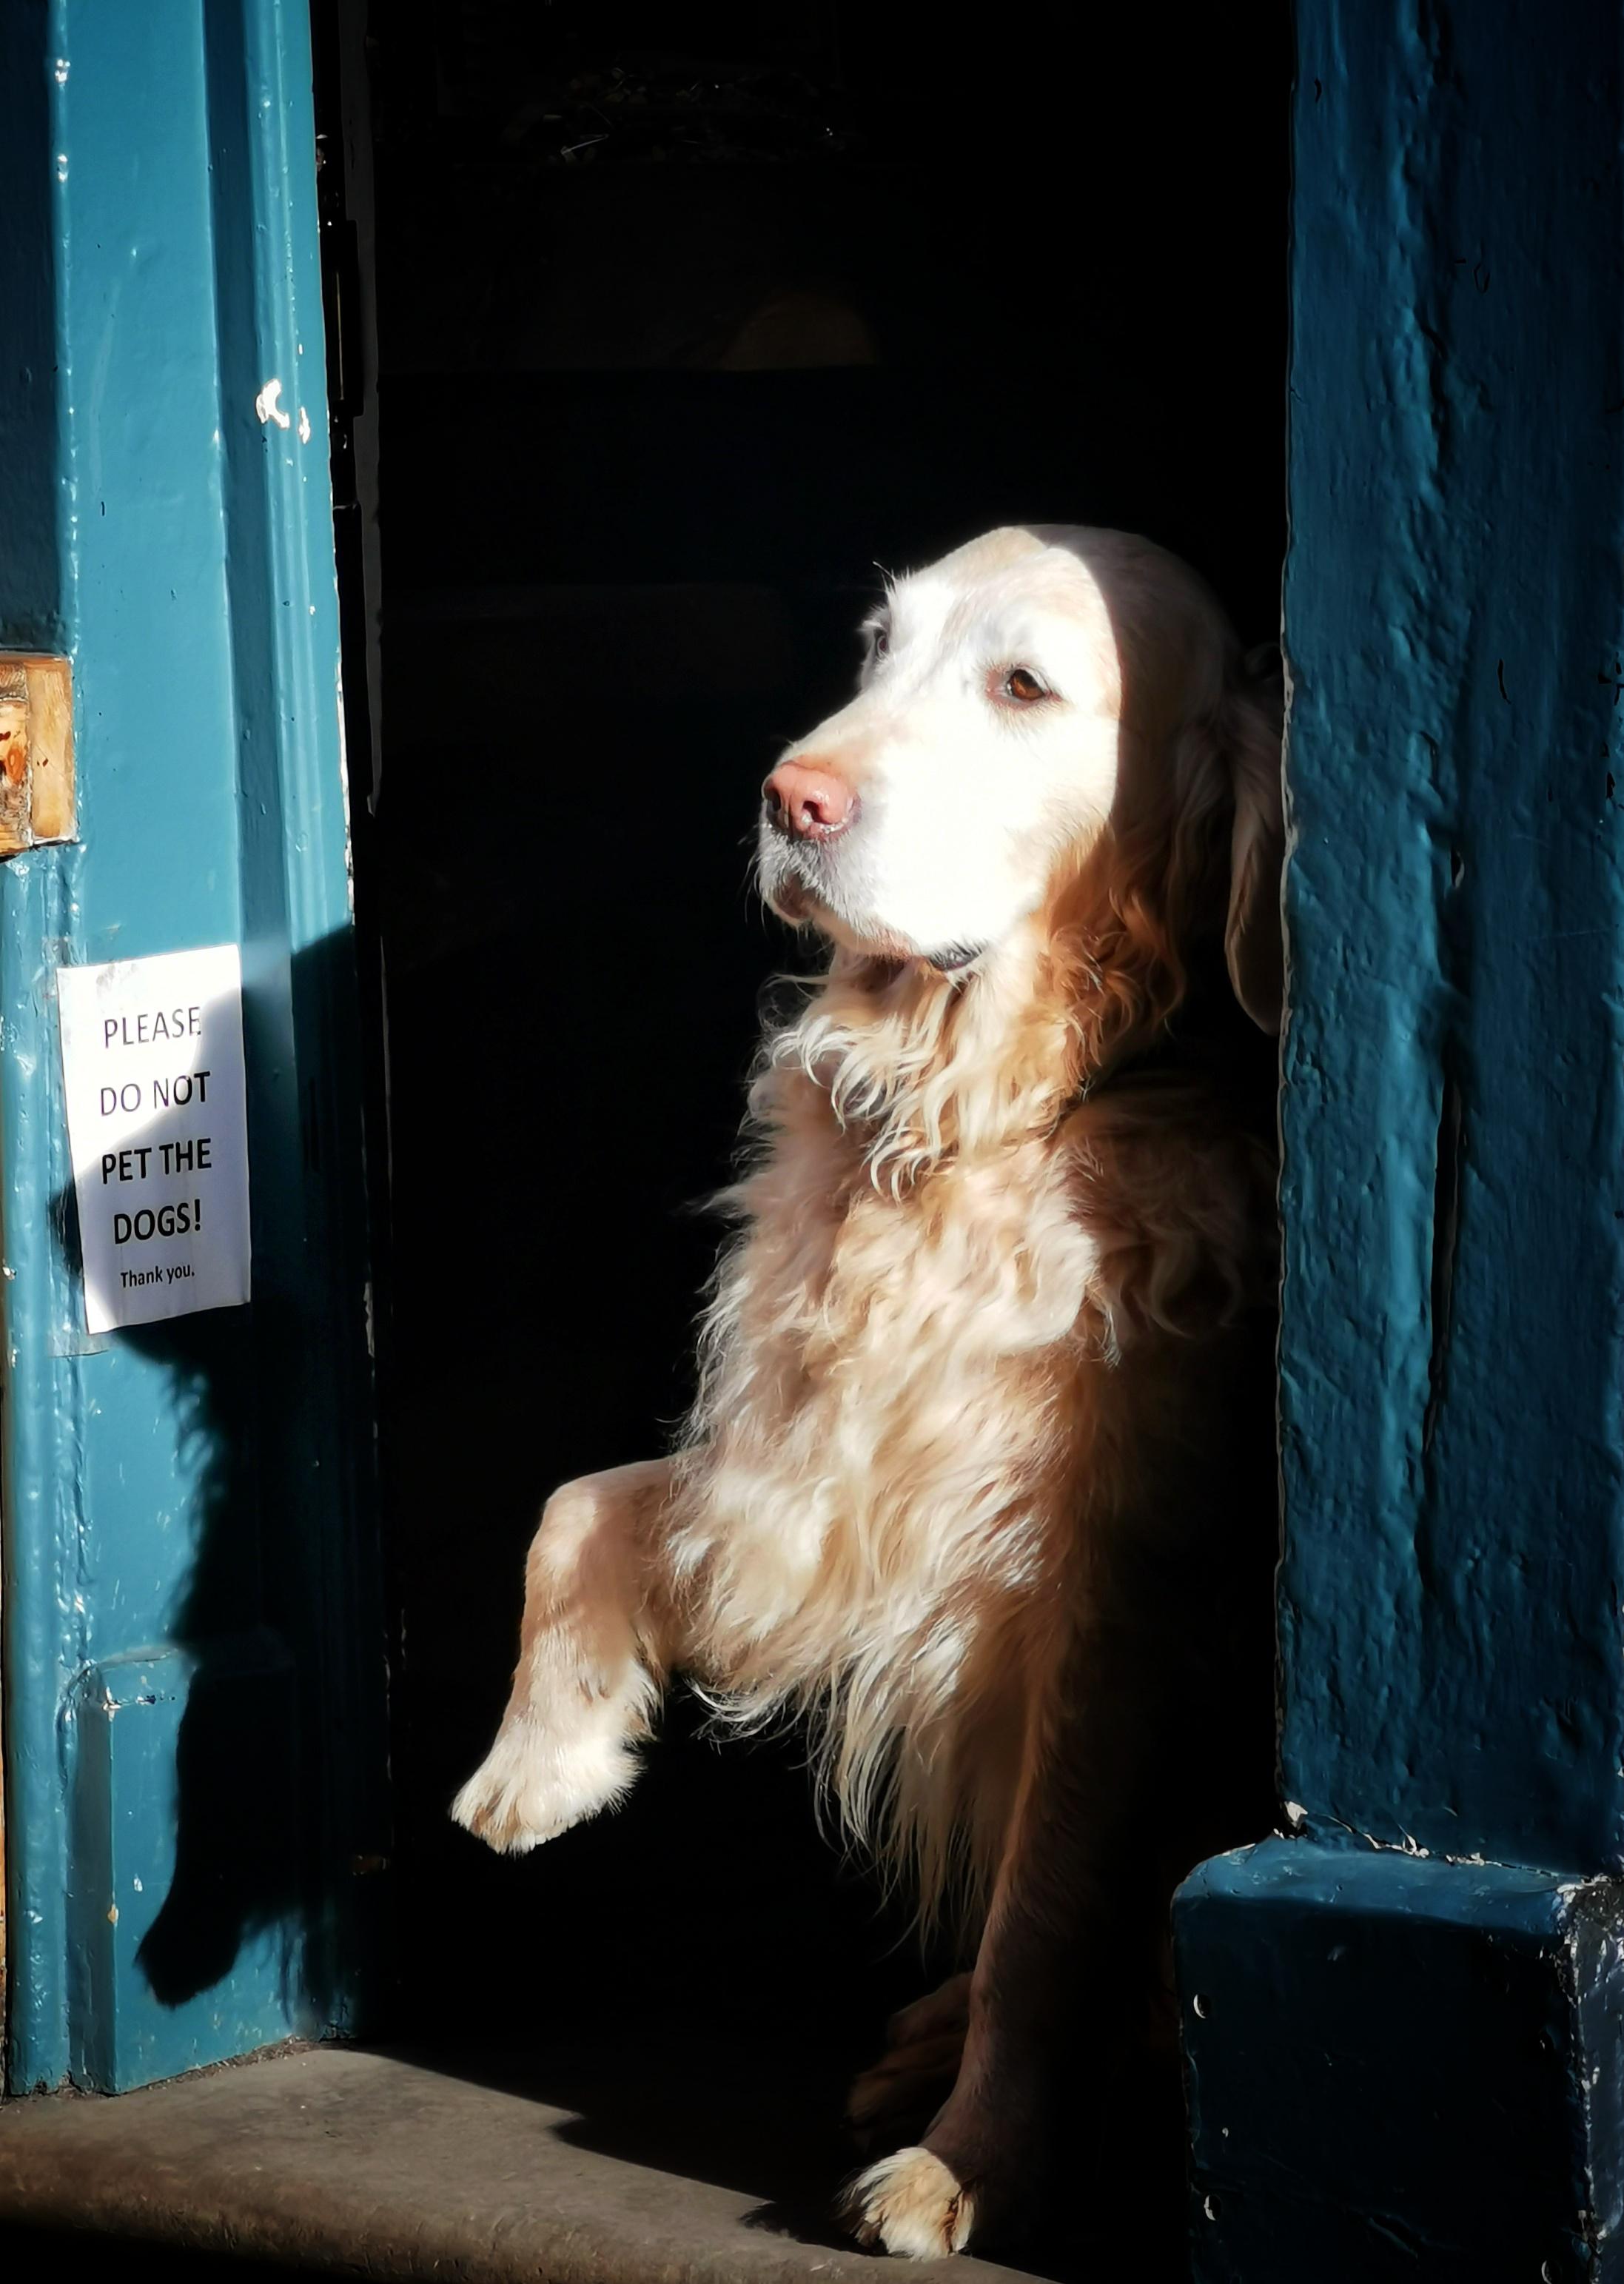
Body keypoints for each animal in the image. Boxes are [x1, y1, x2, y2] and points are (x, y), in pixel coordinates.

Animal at [453, 524, 1284, 2257]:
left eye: (1023, 685)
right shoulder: (805, 1467)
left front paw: (971, 2167)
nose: (791, 797)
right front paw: (541, 1760)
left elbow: (1045, 1917)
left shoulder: (1102, 1612)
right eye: (874, 646)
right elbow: (580, 1502)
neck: (966, 1129)